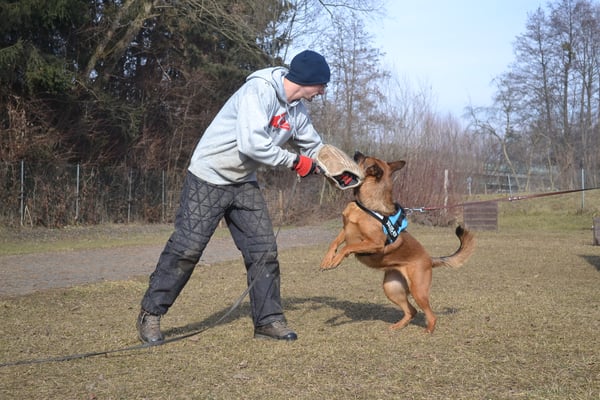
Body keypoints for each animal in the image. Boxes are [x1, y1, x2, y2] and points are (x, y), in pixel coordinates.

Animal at [320, 152, 475, 333]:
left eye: (363, 159)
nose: (357, 152)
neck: (366, 205)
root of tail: (429, 259)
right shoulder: (345, 230)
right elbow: (334, 243)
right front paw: (327, 260)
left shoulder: (375, 243)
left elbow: (348, 247)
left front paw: (336, 260)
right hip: (391, 288)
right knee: (411, 310)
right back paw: (398, 326)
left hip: (418, 290)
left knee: (430, 314)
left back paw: (428, 331)